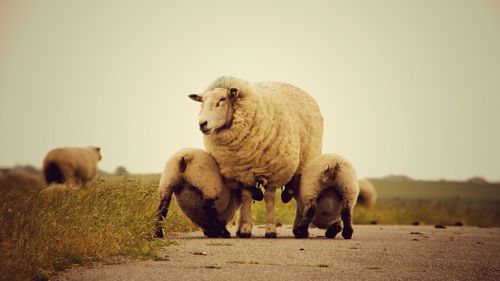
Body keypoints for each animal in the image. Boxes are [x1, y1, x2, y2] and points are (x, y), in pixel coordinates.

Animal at [188, 75, 324, 237]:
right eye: (202, 102)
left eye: (222, 99)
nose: (202, 124)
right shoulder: (242, 171)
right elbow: (246, 197)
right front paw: (246, 229)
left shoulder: (273, 171)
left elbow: (269, 199)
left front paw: (271, 229)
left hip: (305, 163)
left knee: (298, 192)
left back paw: (299, 229)